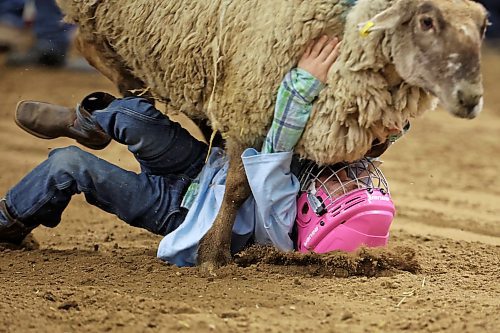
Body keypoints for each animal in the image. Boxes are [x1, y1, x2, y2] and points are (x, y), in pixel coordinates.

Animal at [55, 0, 488, 270]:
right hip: (104, 20)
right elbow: (237, 187)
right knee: (88, 46)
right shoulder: (251, 100)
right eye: (427, 21)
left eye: (483, 27)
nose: (471, 98)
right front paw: (212, 257)